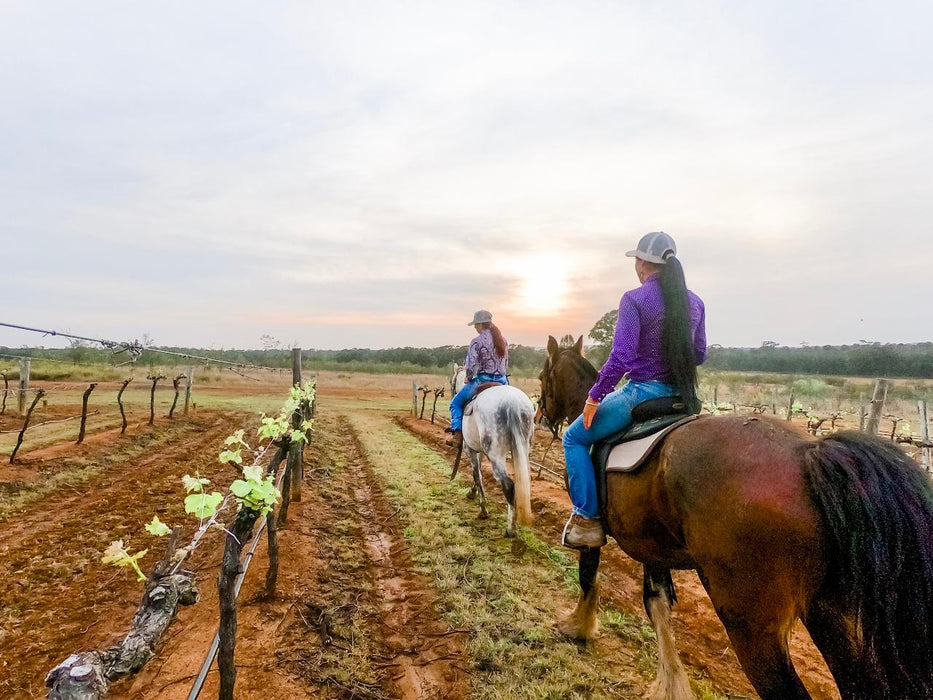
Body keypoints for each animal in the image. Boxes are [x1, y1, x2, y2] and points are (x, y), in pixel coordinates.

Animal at [540, 340, 932, 700]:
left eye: (544, 377)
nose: (541, 416)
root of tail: (809, 454)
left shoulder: (591, 525)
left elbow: (589, 574)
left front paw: (579, 626)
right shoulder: (651, 546)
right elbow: (657, 605)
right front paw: (671, 685)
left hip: (751, 624)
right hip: (831, 616)